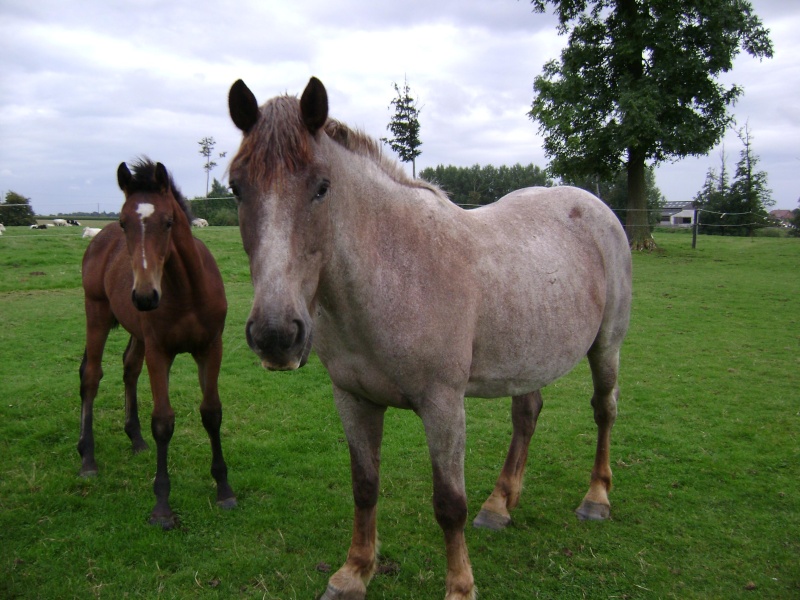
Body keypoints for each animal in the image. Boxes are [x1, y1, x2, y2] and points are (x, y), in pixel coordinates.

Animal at [227, 77, 632, 596]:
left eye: (321, 187)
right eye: (237, 187)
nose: (277, 335)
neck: (398, 273)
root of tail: (596, 207)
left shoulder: (443, 404)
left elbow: (449, 503)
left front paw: (460, 585)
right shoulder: (353, 399)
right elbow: (365, 486)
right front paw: (354, 571)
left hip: (606, 346)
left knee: (604, 410)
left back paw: (596, 498)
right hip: (528, 356)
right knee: (527, 415)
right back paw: (499, 505)